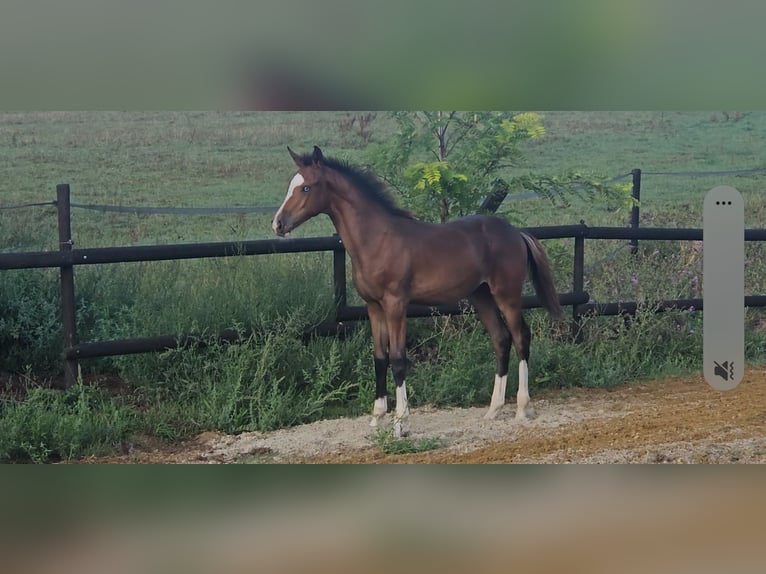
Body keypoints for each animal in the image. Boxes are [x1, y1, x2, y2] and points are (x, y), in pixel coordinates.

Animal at [272, 146, 563, 438]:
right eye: (291, 186)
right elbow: (380, 357)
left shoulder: (396, 304)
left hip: (506, 295)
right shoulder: (373, 307)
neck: (377, 239)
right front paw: (377, 417)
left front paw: (400, 422)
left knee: (521, 337)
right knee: (501, 339)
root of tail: (516, 232)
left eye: (306, 187)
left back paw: (522, 408)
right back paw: (493, 410)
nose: (278, 224)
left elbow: (398, 358)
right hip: (481, 296)